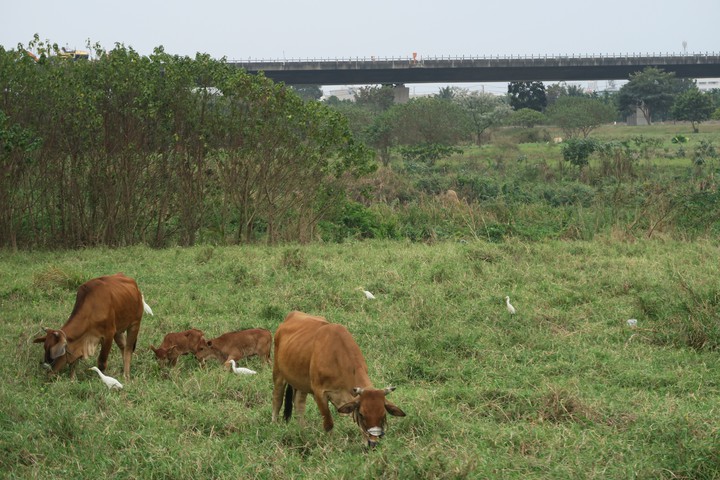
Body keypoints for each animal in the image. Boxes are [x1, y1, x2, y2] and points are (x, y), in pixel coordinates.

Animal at [271, 311, 406, 447]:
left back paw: (302, 432)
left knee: (299, 403)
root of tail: (292, 315)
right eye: (362, 414)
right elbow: (328, 423)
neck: (338, 357)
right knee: (277, 399)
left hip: (301, 382)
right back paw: (274, 425)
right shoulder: (319, 393)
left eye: (383, 415)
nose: (372, 443)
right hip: (278, 373)